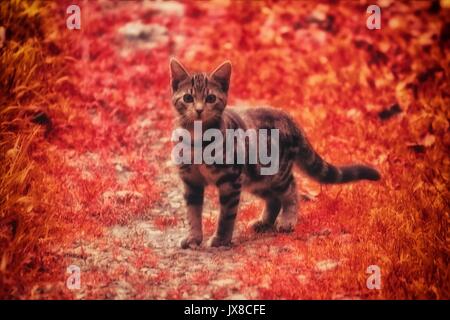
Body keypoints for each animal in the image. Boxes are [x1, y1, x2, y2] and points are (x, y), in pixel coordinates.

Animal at [169, 58, 380, 249]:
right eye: (188, 98)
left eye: (211, 98)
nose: (198, 110)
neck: (197, 140)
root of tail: (288, 117)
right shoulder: (191, 181)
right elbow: (193, 213)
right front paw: (193, 238)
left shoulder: (231, 179)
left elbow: (226, 215)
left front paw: (221, 240)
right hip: (256, 177)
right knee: (274, 198)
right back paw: (264, 222)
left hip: (275, 172)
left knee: (291, 190)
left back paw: (287, 220)